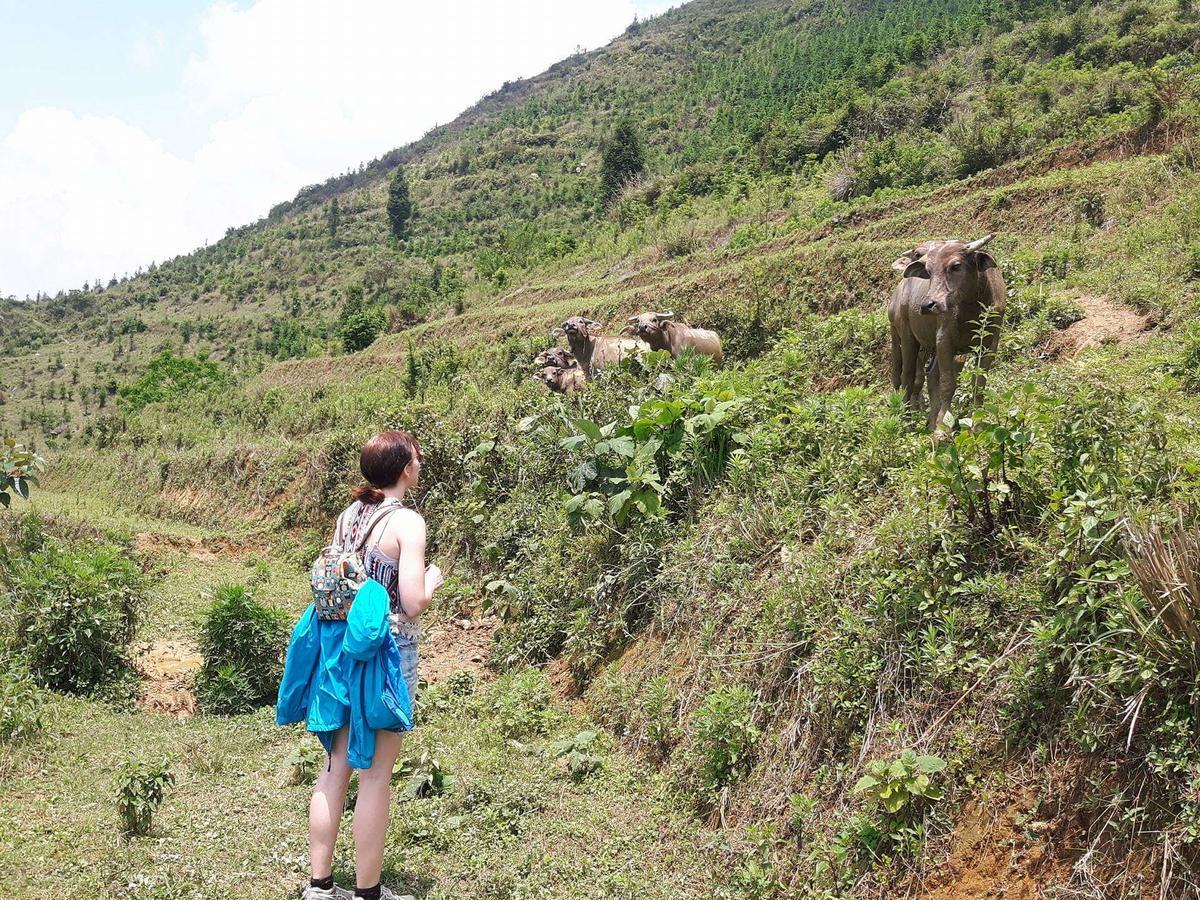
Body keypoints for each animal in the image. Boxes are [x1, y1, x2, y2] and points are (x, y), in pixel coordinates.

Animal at [888, 232, 1008, 429]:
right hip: (905, 336)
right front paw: (942, 427)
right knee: (907, 376)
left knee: (928, 376)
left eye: (956, 266)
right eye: (928, 271)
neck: (971, 308)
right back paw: (907, 418)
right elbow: (947, 383)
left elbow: (979, 383)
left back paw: (930, 421)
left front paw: (977, 424)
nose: (928, 305)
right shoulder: (944, 340)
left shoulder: (989, 343)